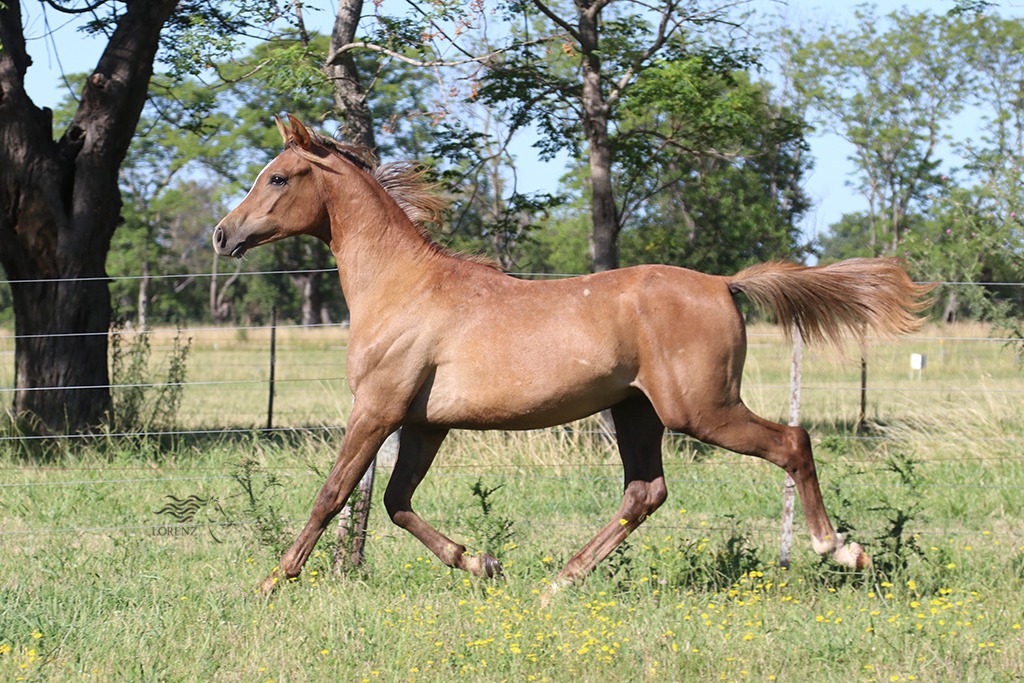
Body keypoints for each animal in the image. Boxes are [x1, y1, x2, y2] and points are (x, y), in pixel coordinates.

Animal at [213, 115, 933, 599]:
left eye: (277, 177)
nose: (223, 235)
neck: (402, 287)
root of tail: (723, 283)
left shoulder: (378, 407)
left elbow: (333, 493)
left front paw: (273, 581)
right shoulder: (424, 422)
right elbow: (394, 501)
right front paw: (483, 562)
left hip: (701, 408)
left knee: (792, 441)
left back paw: (839, 549)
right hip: (639, 411)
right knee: (646, 490)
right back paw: (559, 581)